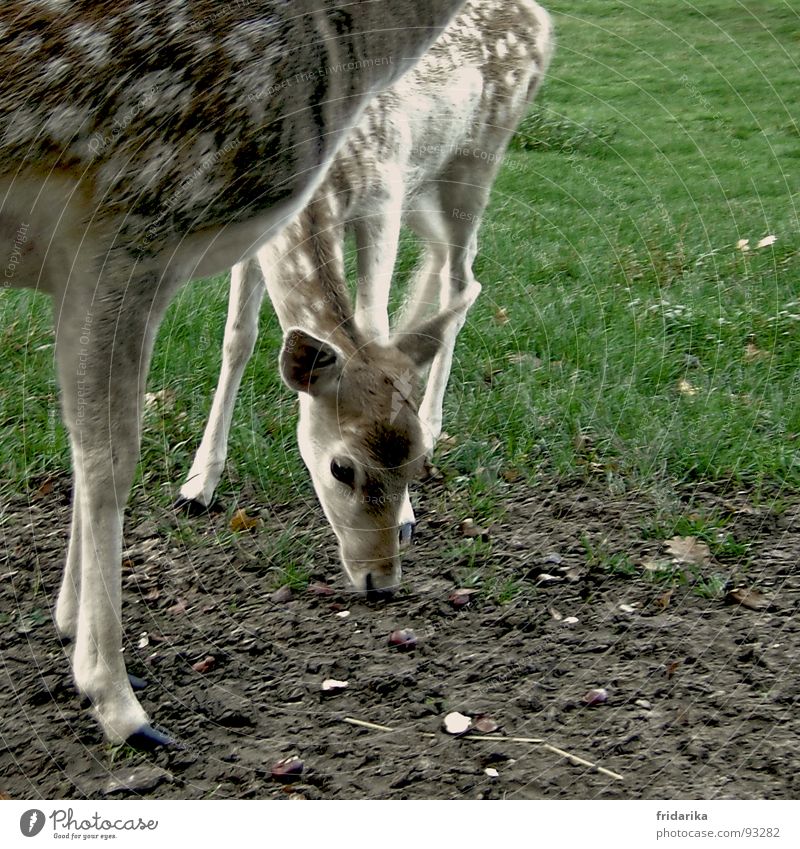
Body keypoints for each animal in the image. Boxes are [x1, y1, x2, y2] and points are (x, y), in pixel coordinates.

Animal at [0, 0, 466, 744]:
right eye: (341, 468)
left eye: (422, 460)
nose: (382, 582)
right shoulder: (129, 226)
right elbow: (109, 461)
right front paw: (116, 699)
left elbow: (83, 443)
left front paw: (68, 624)